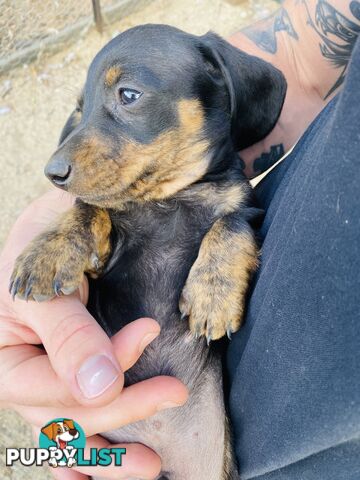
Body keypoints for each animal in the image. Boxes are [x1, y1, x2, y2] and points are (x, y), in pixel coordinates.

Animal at [10, 24, 286, 478]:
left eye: (129, 94)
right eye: (80, 109)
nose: (53, 173)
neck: (167, 197)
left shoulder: (247, 207)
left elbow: (230, 224)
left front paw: (213, 295)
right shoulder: (105, 255)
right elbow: (88, 209)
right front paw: (47, 253)